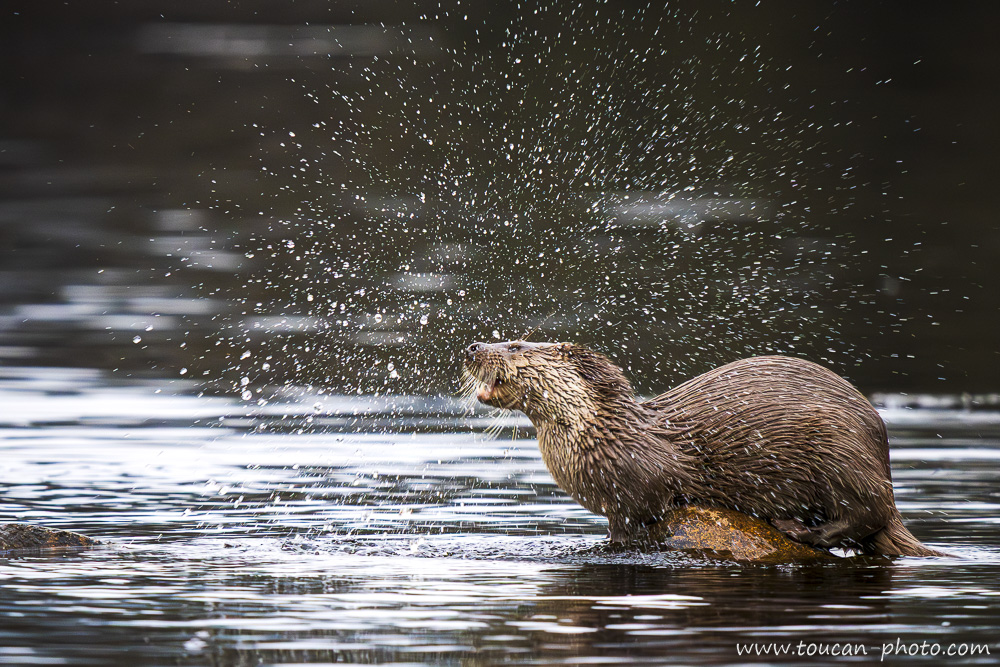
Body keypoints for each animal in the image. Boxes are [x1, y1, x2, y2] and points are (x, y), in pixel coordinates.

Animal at [463, 340, 942, 557]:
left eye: (514, 345)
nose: (473, 345)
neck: (602, 434)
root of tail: (882, 460)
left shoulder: (640, 487)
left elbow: (638, 519)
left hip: (840, 453)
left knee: (866, 515)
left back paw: (796, 529)